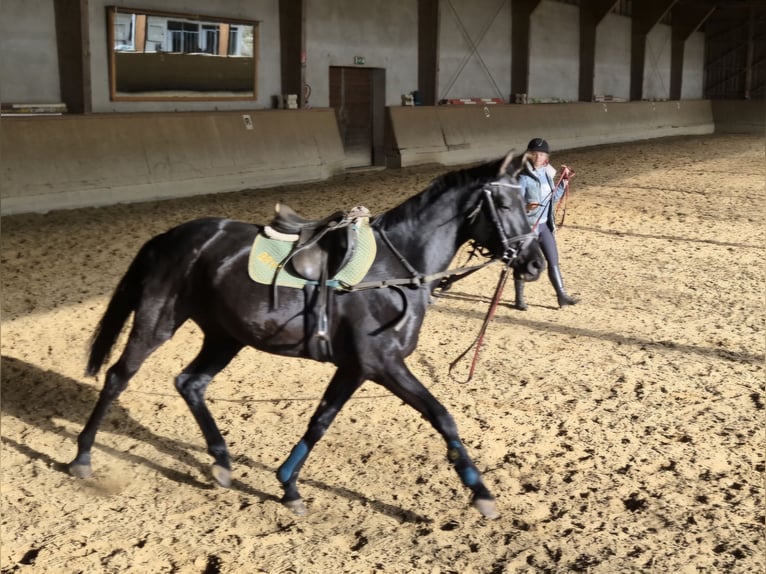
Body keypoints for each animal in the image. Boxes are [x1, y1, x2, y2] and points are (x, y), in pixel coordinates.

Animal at [67, 151, 544, 520]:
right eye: (506, 203)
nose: (535, 263)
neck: (395, 269)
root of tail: (169, 236)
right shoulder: (382, 363)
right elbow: (443, 416)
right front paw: (480, 492)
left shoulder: (354, 367)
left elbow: (320, 421)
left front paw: (288, 486)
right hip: (157, 321)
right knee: (118, 377)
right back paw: (82, 456)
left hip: (225, 336)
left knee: (190, 383)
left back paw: (221, 461)